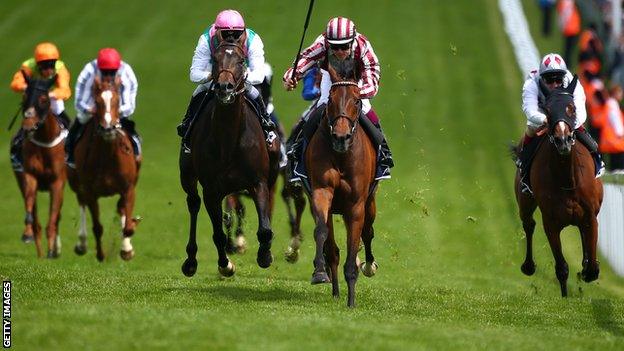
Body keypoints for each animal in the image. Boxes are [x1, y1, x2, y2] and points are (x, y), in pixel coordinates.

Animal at [13, 72, 67, 258]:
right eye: (24, 96)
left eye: (44, 99)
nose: (28, 126)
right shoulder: (30, 176)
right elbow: (30, 209)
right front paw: (27, 234)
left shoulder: (57, 183)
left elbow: (53, 219)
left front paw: (52, 251)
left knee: (56, 217)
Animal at [68, 75, 141, 262]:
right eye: (97, 101)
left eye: (117, 100)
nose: (108, 128)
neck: (107, 155)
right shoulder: (90, 191)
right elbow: (97, 226)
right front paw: (100, 254)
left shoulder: (128, 188)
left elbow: (127, 225)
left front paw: (127, 248)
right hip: (76, 184)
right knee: (81, 203)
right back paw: (81, 244)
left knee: (121, 209)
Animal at [178, 40, 280, 278]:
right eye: (215, 59)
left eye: (241, 60)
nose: (225, 87)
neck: (229, 138)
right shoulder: (211, 190)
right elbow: (218, 233)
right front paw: (226, 264)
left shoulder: (258, 182)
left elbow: (264, 229)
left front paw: (265, 256)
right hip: (188, 175)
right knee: (193, 203)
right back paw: (191, 261)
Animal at [304, 61, 378, 308]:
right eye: (330, 99)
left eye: (356, 100)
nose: (340, 137)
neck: (342, 155)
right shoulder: (321, 191)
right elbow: (321, 232)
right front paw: (319, 272)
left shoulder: (356, 205)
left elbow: (354, 246)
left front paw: (351, 301)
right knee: (333, 248)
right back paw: (335, 289)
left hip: (369, 203)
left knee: (368, 232)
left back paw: (368, 265)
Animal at [512, 77, 604, 296]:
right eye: (547, 110)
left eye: (571, 107)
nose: (563, 140)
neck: (567, 179)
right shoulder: (551, 222)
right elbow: (562, 268)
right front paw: (565, 295)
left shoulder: (590, 216)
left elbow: (592, 267)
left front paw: (587, 268)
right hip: (525, 201)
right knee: (528, 223)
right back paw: (529, 266)